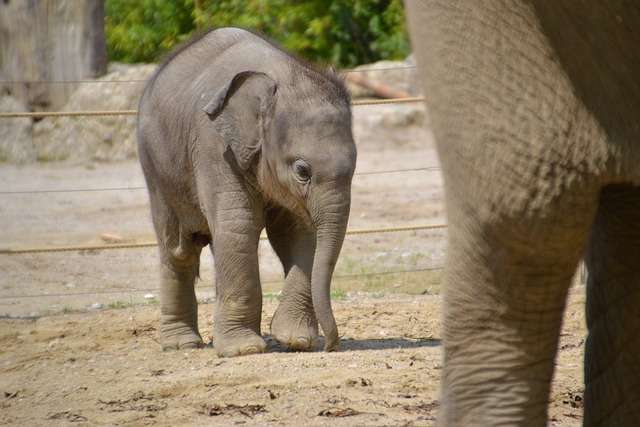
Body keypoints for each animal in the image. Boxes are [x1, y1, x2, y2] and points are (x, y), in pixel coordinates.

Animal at [137, 27, 356, 358]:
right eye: (302, 171)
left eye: (354, 166)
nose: (331, 346)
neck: (281, 75)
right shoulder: (213, 146)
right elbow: (238, 224)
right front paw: (244, 350)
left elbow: (301, 231)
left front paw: (296, 340)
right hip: (157, 169)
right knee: (178, 249)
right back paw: (182, 345)